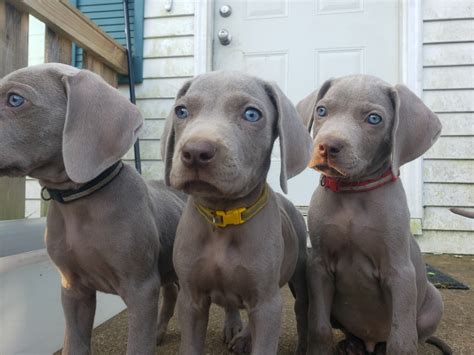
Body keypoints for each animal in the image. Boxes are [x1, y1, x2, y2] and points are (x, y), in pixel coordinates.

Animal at [0, 63, 185, 354]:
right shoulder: (73, 288)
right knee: (172, 291)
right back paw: (159, 332)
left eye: (15, 99)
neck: (80, 201)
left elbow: (137, 345)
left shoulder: (142, 289)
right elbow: (74, 344)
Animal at [163, 71, 314, 354]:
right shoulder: (190, 300)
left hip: (298, 272)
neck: (224, 215)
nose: (195, 152)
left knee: (301, 308)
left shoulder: (267, 304)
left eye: (252, 114)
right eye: (181, 111)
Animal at [296, 73, 452, 354]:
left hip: (433, 299)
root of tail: (370, 342)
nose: (327, 146)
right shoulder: (319, 265)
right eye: (321, 110)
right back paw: (351, 345)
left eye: (374, 119)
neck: (354, 192)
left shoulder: (400, 272)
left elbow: (401, 340)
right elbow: (319, 328)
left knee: (414, 336)